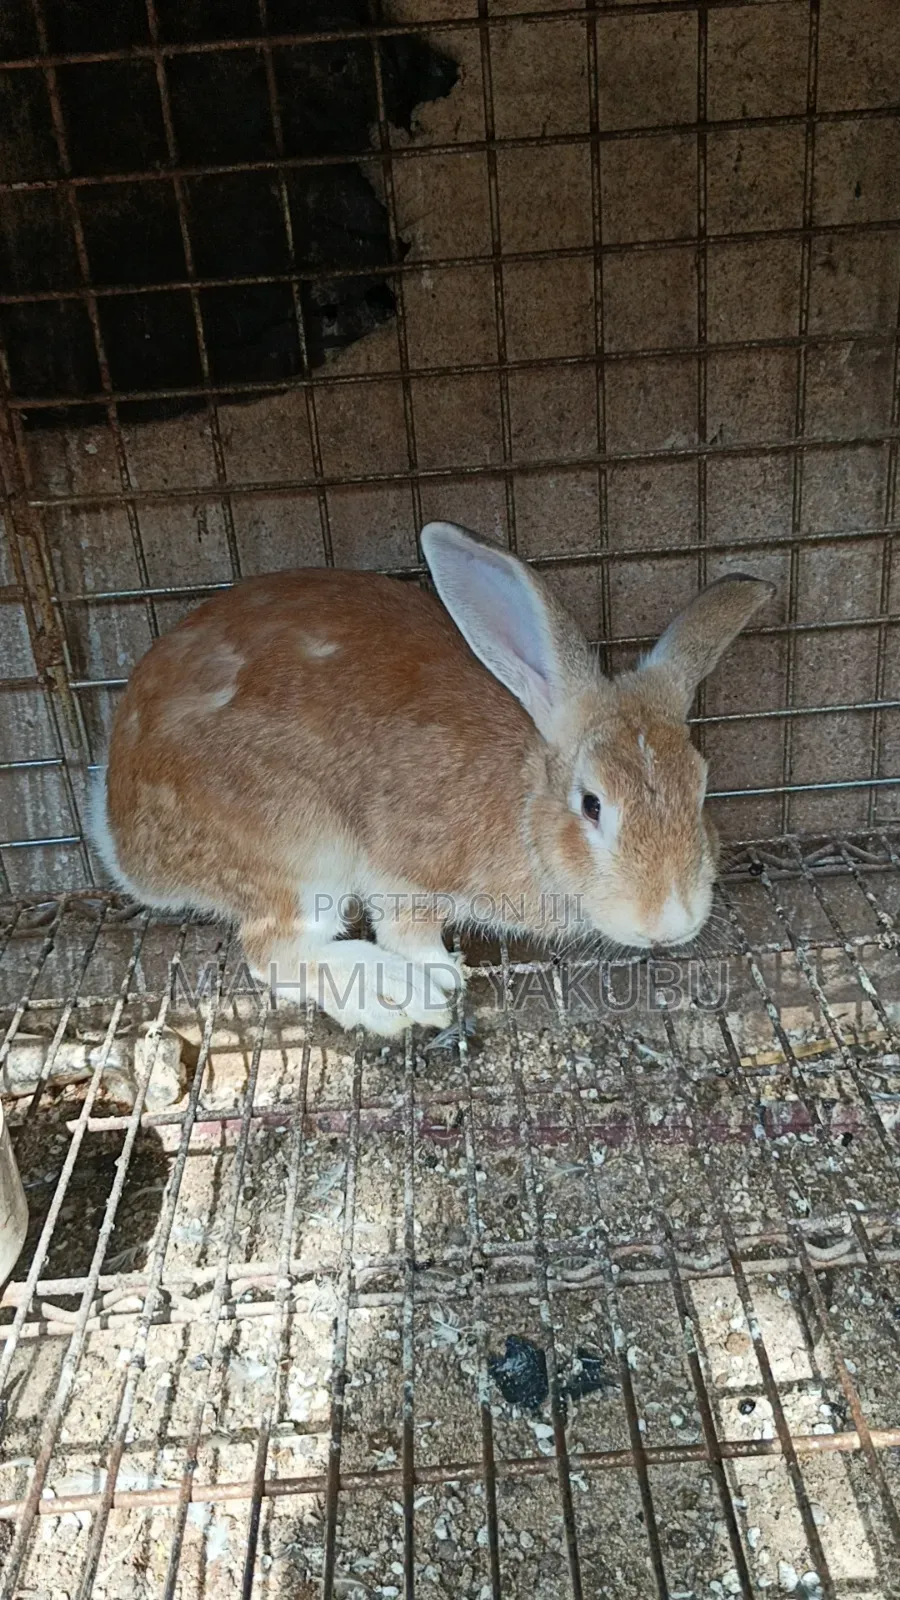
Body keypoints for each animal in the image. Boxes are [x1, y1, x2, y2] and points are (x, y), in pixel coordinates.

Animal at [90, 522, 773, 1038]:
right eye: (592, 805)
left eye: (702, 788)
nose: (670, 924)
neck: (526, 798)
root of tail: (123, 837)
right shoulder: (403, 871)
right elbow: (407, 930)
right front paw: (442, 972)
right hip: (303, 852)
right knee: (273, 949)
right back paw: (395, 996)